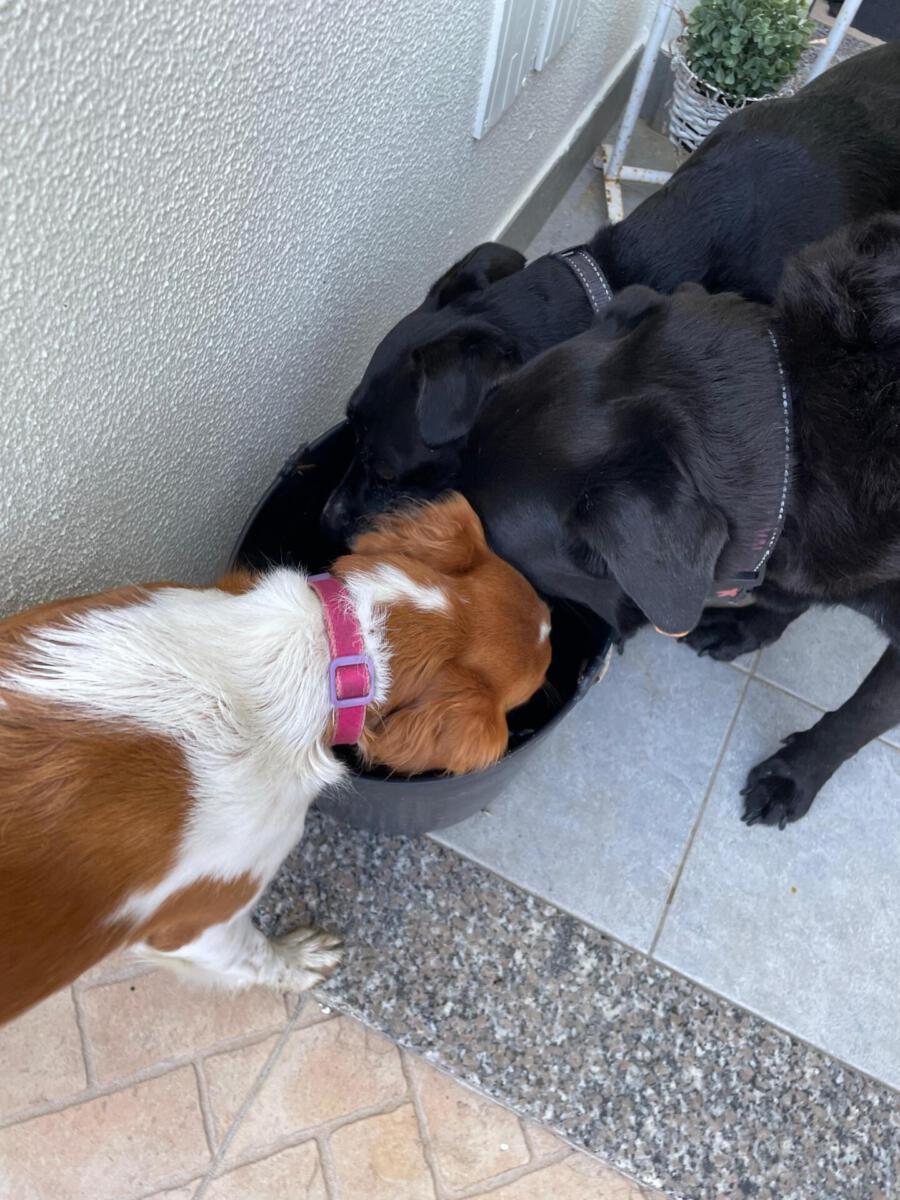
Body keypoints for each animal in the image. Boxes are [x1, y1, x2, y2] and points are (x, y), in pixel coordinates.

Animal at [463, 213, 900, 829]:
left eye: (492, 549)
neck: (792, 428)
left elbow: (859, 716)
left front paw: (795, 776)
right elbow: (787, 596)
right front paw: (748, 627)